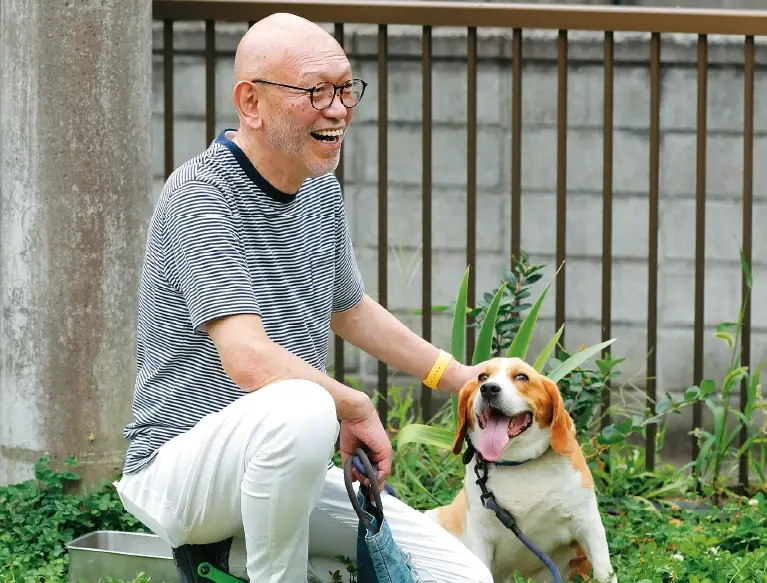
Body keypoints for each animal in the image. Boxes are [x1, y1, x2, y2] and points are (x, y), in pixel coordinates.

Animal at [426, 358, 616, 580]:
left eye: (521, 377)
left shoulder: (588, 523)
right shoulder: (480, 535)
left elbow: (604, 572)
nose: (488, 389)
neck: (519, 464)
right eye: (482, 377)